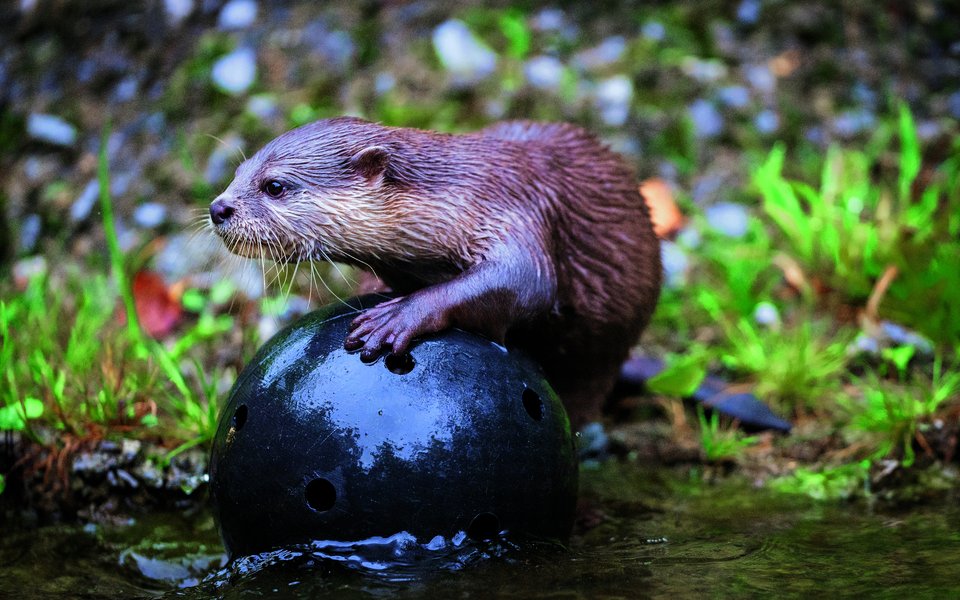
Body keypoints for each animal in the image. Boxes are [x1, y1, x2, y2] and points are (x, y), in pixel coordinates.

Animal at [209, 117, 660, 426]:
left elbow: (526, 281)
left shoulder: (517, 208)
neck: (462, 192)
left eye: (274, 186)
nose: (218, 207)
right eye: (237, 174)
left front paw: (397, 316)